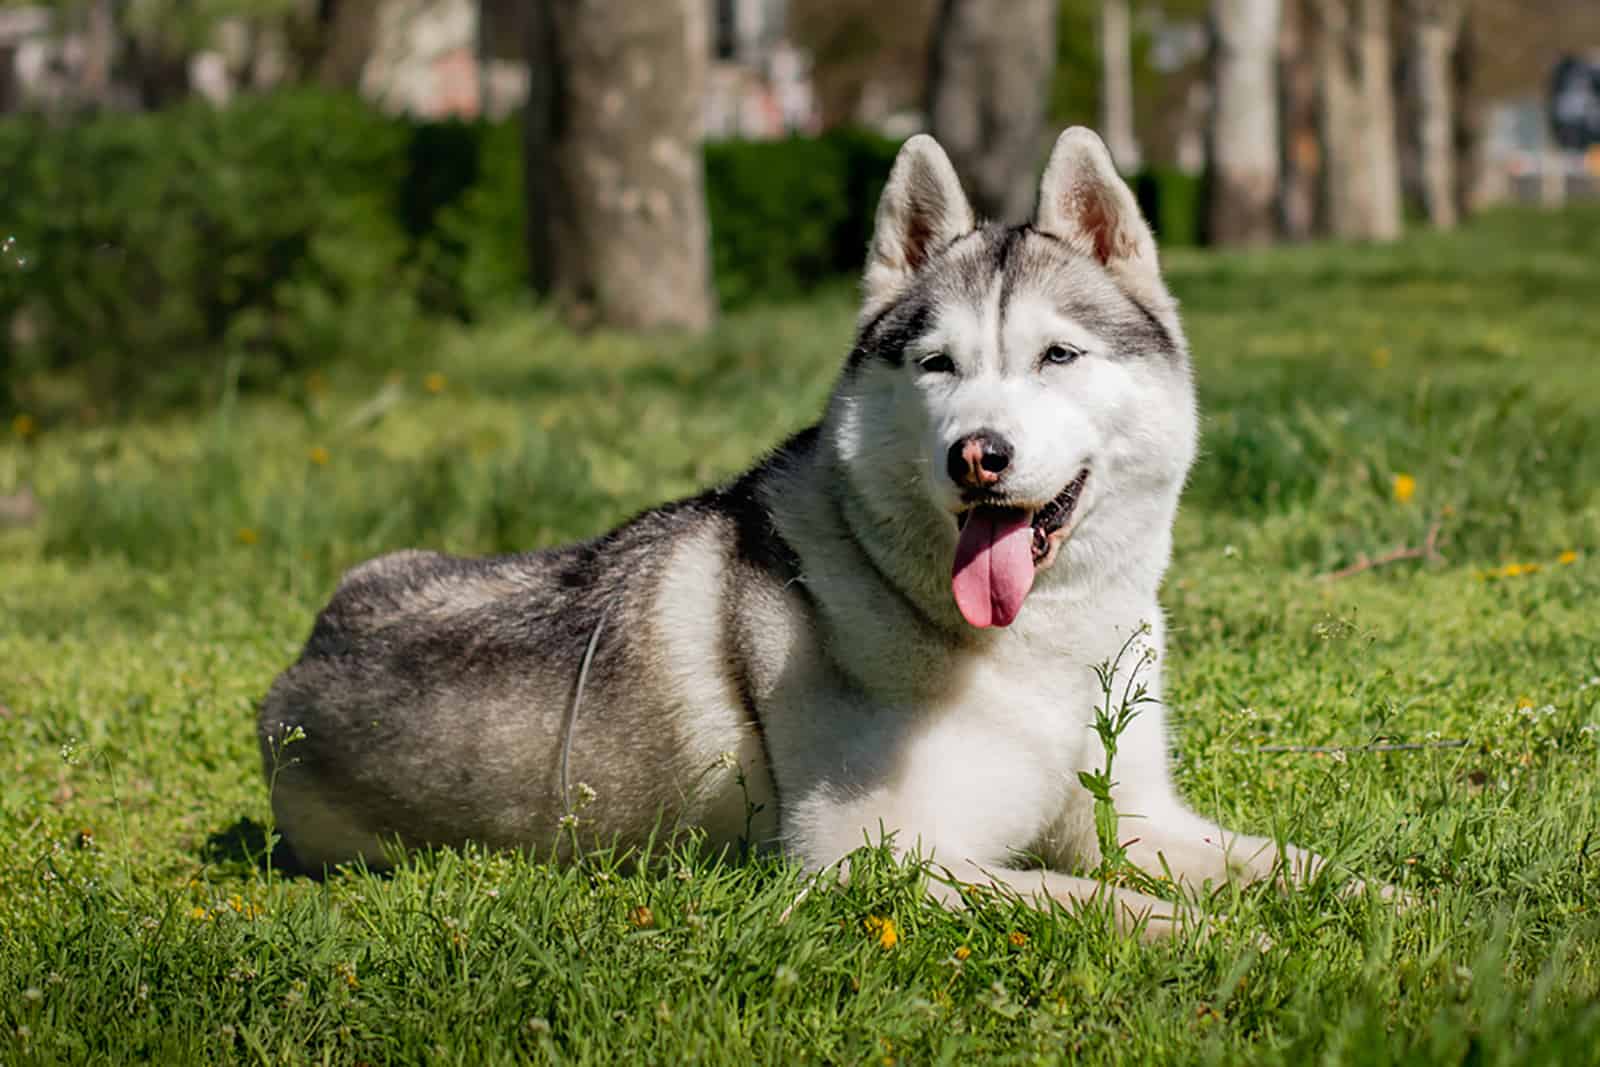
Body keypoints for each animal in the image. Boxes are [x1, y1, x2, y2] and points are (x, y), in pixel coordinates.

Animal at [265, 129, 1337, 940]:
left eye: (1058, 355)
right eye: (938, 364)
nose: (977, 456)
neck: (1038, 648)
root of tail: (303, 657)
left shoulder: (1138, 818)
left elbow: (1297, 863)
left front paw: (1370, 917)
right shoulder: (873, 858)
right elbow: (1104, 902)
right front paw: (1241, 942)